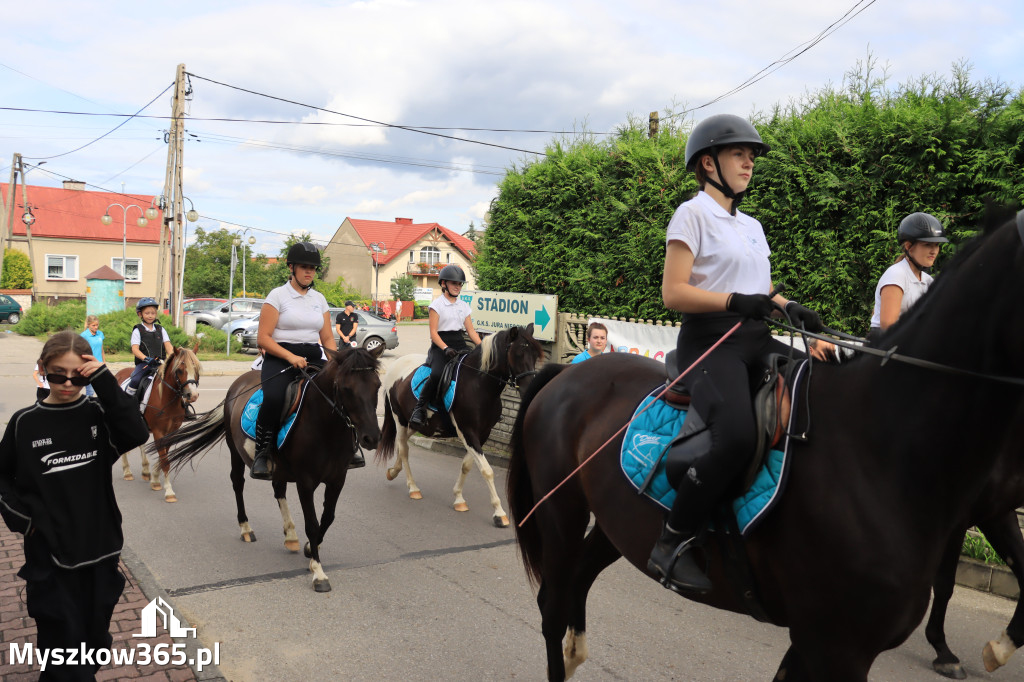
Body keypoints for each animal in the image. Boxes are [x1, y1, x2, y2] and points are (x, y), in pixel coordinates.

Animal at [114, 346, 199, 499]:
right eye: (179, 370)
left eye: (195, 368)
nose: (192, 395)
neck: (165, 398)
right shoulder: (158, 431)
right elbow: (164, 460)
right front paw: (169, 491)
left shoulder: (172, 432)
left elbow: (164, 457)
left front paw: (154, 479)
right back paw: (127, 472)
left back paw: (145, 470)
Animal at [149, 346, 378, 589]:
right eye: (346, 388)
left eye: (377, 385)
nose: (372, 437)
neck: (325, 427)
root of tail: (239, 382)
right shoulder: (306, 482)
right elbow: (312, 524)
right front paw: (319, 573)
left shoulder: (337, 479)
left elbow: (328, 518)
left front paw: (310, 547)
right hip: (235, 452)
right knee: (238, 484)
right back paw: (246, 528)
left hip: (278, 467)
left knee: (279, 490)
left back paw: (291, 536)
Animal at [378, 323, 544, 524]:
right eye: (518, 353)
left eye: (535, 354)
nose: (531, 388)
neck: (478, 384)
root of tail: (396, 364)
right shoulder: (468, 431)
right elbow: (487, 470)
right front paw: (499, 513)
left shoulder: (482, 433)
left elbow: (467, 465)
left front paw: (458, 499)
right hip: (400, 419)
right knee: (403, 449)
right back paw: (413, 488)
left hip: (415, 424)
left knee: (403, 447)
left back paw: (393, 471)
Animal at [507, 214, 1024, 679]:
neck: (878, 448)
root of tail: (568, 371)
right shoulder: (838, 646)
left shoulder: (817, 641)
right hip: (560, 512)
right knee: (552, 605)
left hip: (618, 522)